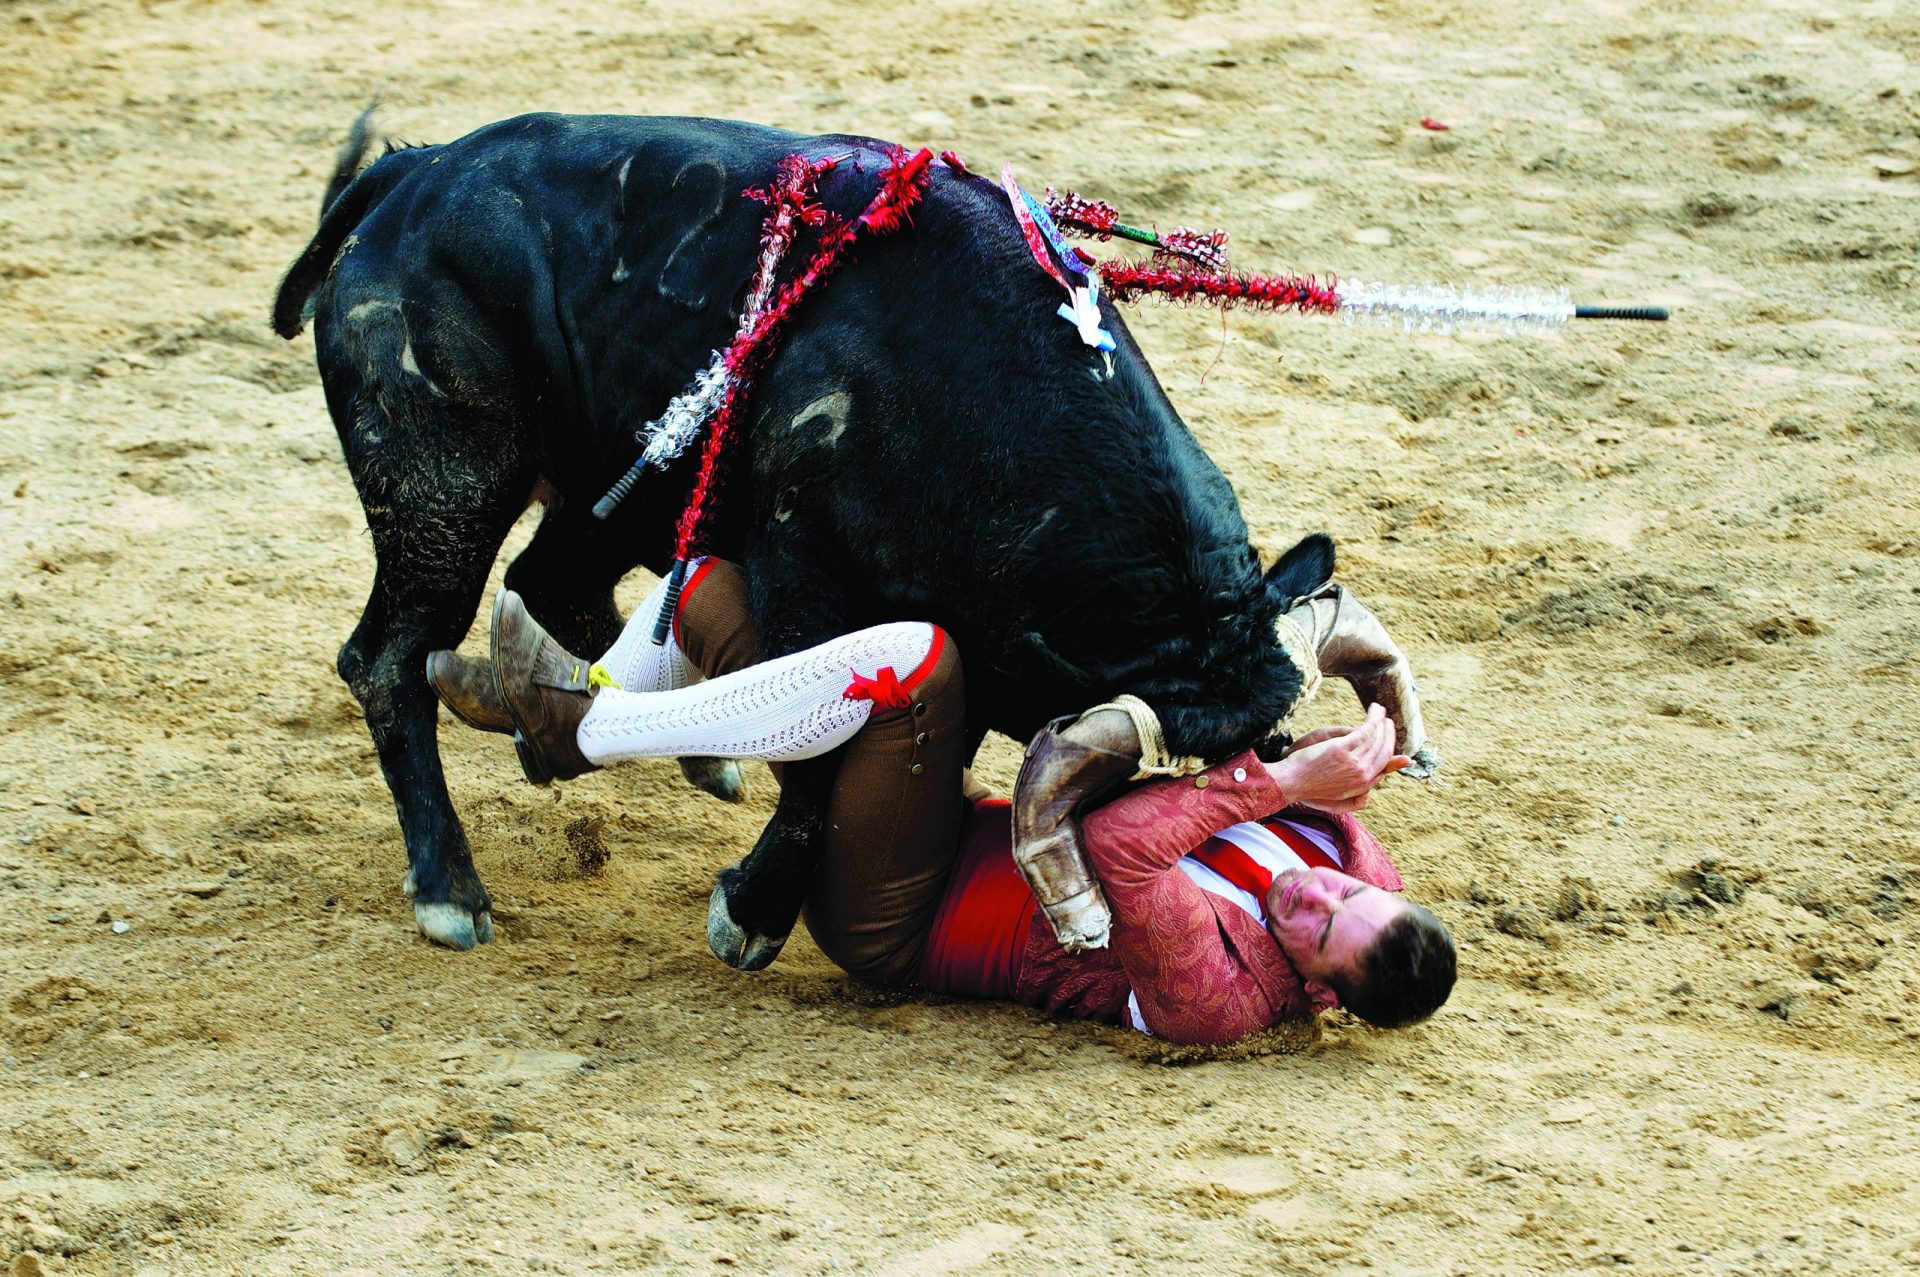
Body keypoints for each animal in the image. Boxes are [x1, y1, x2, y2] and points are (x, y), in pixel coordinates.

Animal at [274, 114, 1336, 960]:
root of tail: (415, 171)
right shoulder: (802, 563)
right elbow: (826, 748)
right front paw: (751, 911)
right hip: (443, 491)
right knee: (390, 657)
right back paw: (449, 890)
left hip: (612, 485)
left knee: (553, 585)